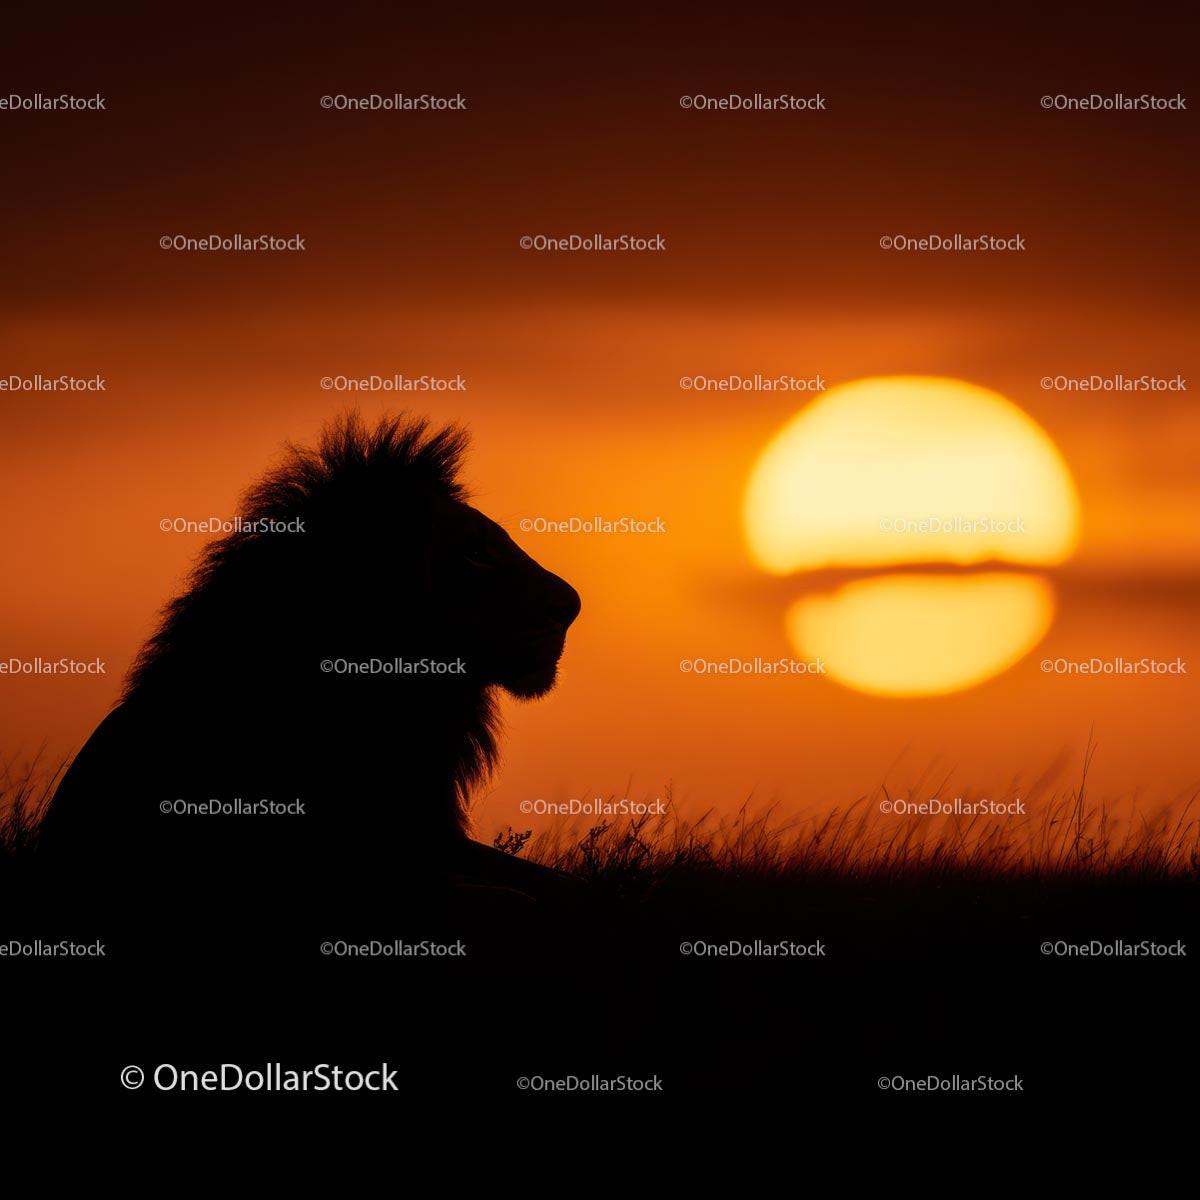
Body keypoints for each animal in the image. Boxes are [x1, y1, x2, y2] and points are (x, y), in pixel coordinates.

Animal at [36, 413, 581, 912]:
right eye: (476, 553)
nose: (572, 606)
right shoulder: (336, 875)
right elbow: (514, 898)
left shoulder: (434, 838)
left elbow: (560, 881)